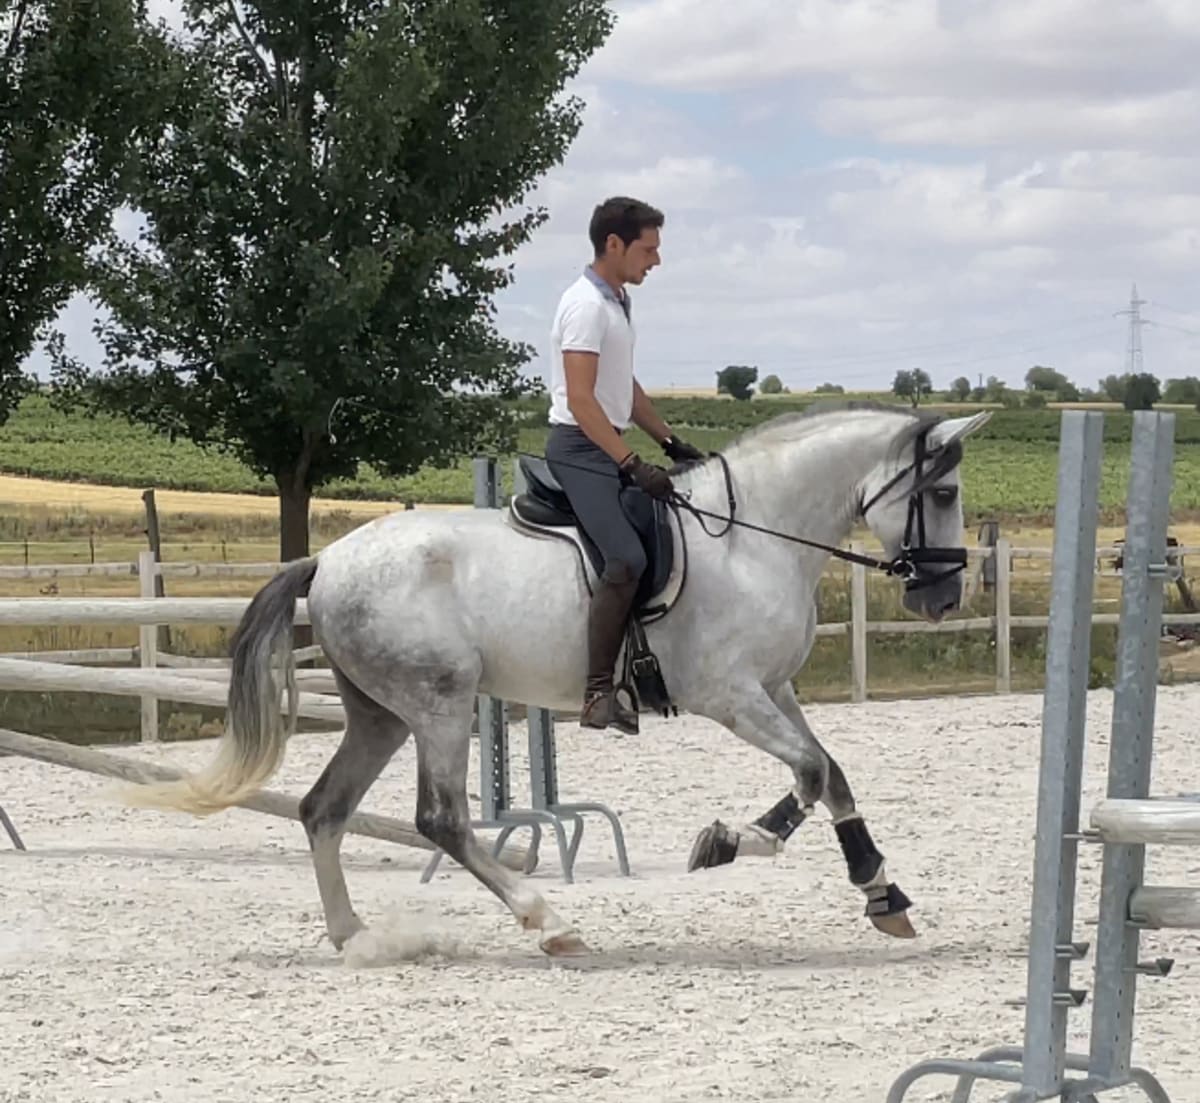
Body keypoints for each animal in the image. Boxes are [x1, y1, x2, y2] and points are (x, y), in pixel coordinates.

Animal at [122, 401, 992, 957]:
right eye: (945, 492)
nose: (944, 598)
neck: (753, 538)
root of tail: (326, 559)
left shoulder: (774, 690)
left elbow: (832, 773)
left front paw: (881, 892)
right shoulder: (731, 696)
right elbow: (809, 772)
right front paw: (727, 841)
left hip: (381, 714)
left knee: (322, 808)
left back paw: (355, 936)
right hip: (440, 701)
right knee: (439, 818)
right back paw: (546, 919)